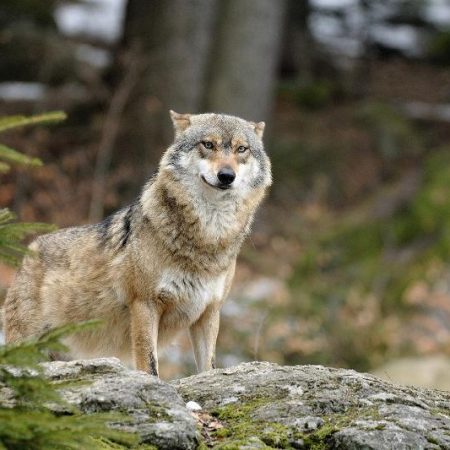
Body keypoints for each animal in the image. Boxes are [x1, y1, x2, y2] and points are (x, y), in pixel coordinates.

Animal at [2, 110, 270, 374]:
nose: (226, 176)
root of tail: (28, 252)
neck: (208, 238)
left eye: (241, 149)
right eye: (208, 144)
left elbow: (208, 368)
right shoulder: (144, 305)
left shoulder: (209, 311)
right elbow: (149, 365)